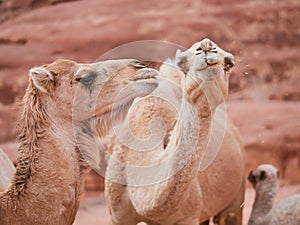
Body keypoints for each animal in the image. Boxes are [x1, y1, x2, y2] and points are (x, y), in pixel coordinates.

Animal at [104, 38, 245, 225]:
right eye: (182, 62)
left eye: (230, 63)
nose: (206, 46)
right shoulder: (117, 216)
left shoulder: (189, 216)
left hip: (237, 195)